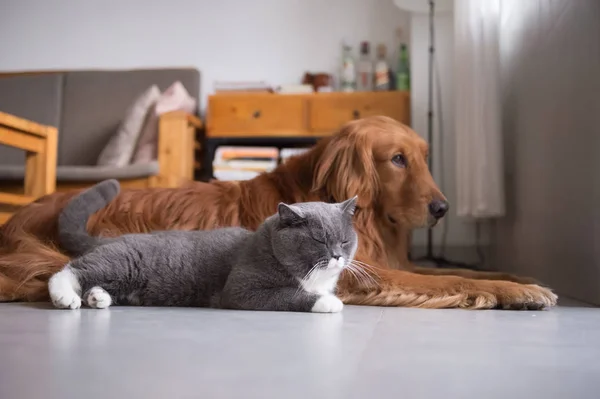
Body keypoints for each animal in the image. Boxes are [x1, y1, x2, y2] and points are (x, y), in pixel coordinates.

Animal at [49, 180, 358, 314]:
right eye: (319, 240)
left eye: (345, 240)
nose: (337, 256)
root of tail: (112, 238)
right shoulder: (241, 289)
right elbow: (289, 294)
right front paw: (329, 302)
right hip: (125, 263)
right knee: (69, 270)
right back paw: (66, 297)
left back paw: (97, 298)